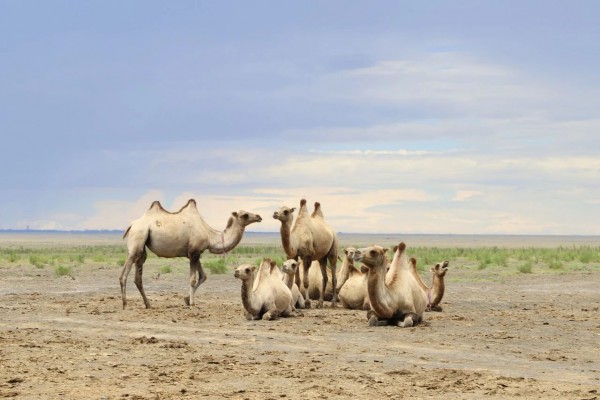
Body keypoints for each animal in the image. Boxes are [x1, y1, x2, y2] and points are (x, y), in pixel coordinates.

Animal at [120, 199, 262, 310]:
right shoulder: (194, 253)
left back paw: (148, 304)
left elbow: (203, 276)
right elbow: (193, 279)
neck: (210, 235)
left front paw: (186, 299)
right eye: (245, 215)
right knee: (125, 273)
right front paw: (192, 303)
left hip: (142, 246)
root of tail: (132, 225)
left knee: (138, 275)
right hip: (138, 237)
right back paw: (125, 304)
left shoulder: (196, 253)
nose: (259, 216)